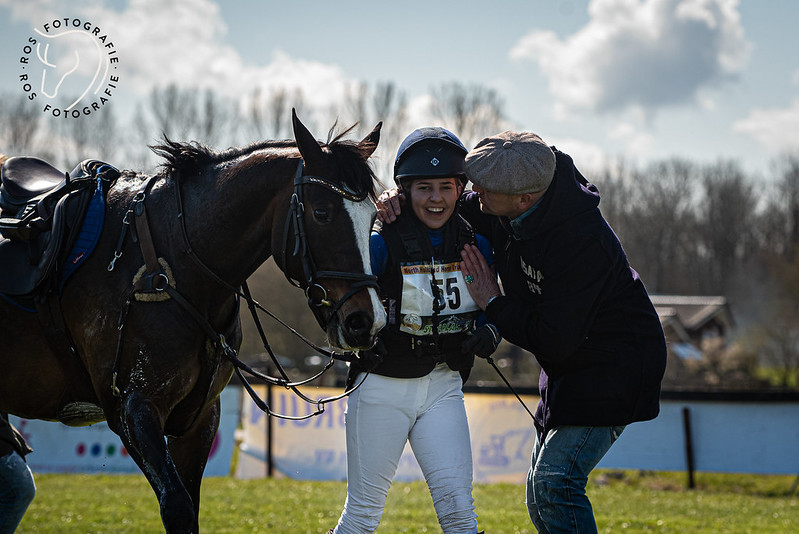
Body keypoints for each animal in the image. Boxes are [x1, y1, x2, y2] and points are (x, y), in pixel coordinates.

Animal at [0, 111, 388, 532]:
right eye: (322, 213)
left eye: (373, 217)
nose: (367, 321)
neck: (167, 263)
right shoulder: (134, 410)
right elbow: (178, 507)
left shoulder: (200, 419)